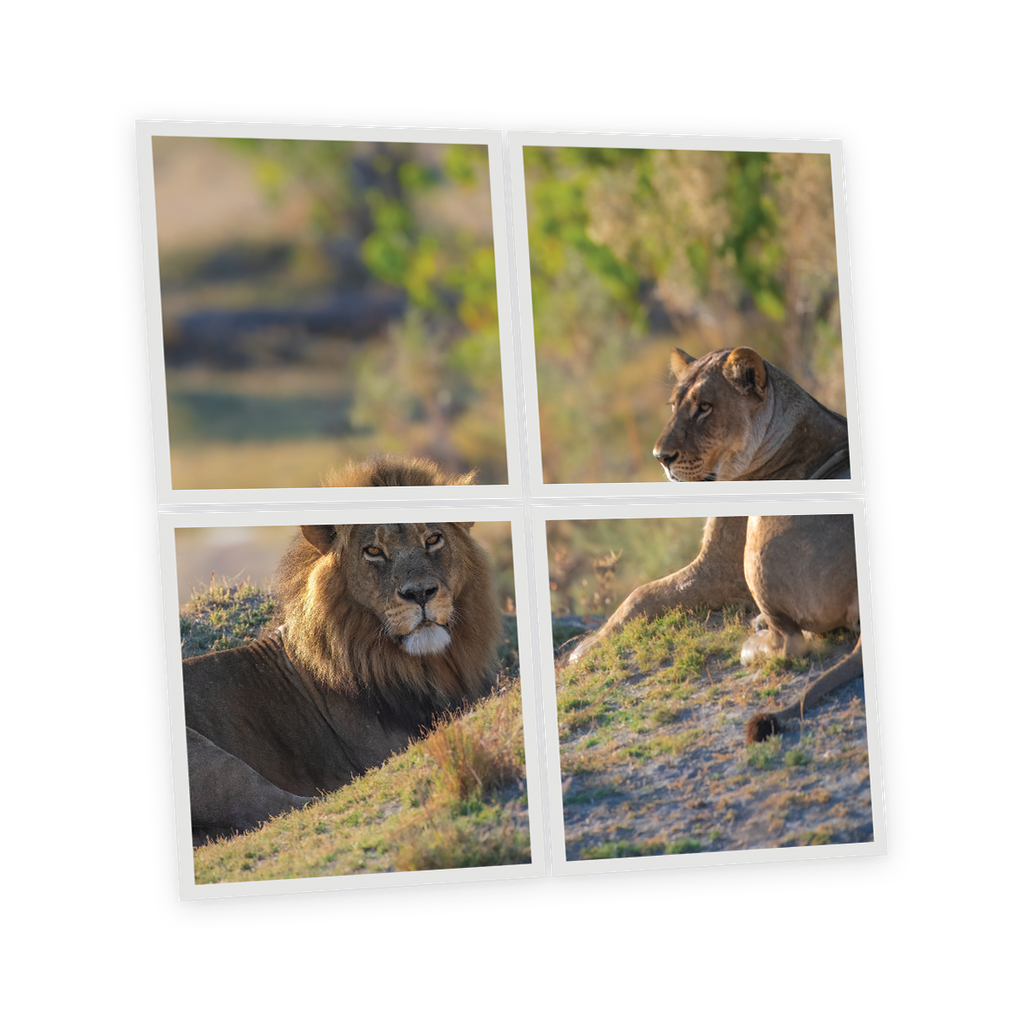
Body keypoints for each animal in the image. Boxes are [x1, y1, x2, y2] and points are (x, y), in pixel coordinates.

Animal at [569, 346, 852, 668]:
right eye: (673, 406)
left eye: (704, 407)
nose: (660, 457)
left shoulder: (721, 568)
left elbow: (642, 594)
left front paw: (586, 646)